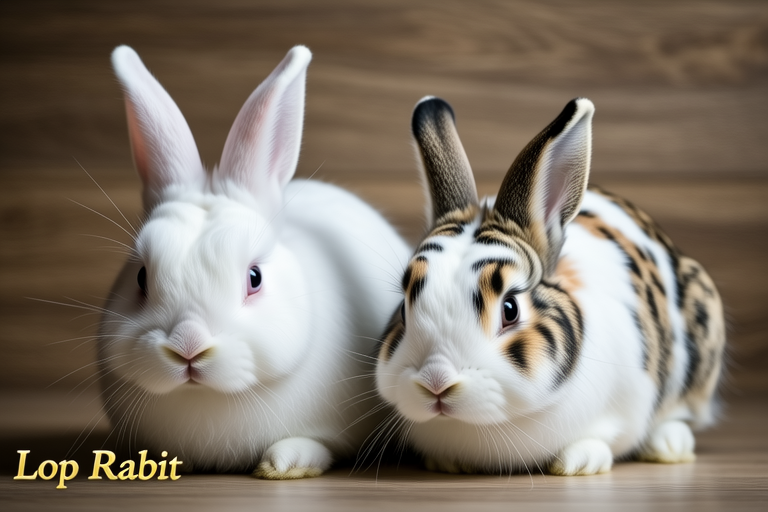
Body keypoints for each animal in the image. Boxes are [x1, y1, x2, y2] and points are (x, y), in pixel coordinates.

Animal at [374, 96, 725, 476]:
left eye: (510, 309)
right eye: (404, 308)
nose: (436, 382)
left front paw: (580, 462)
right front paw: (447, 462)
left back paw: (669, 446)